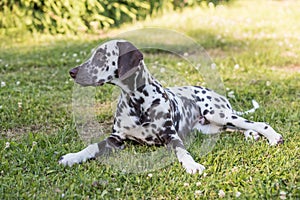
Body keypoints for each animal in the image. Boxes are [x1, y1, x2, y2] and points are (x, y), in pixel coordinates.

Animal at [58, 39, 284, 173]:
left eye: (100, 56)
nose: (72, 72)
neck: (137, 102)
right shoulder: (116, 139)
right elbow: (91, 146)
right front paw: (72, 157)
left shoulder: (171, 137)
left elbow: (183, 152)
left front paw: (192, 165)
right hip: (210, 127)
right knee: (238, 127)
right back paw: (251, 135)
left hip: (217, 113)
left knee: (257, 123)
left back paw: (271, 136)